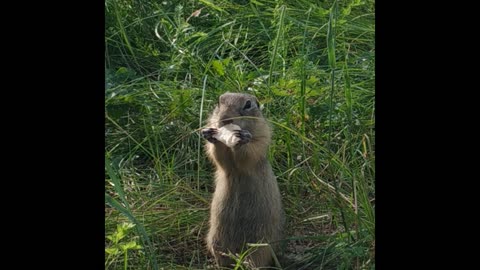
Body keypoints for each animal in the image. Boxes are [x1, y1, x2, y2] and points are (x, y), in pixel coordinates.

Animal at [201, 92, 284, 268]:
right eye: (218, 102)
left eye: (248, 105)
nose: (225, 119)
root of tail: (236, 254)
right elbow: (220, 158)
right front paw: (210, 134)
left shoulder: (262, 136)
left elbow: (250, 153)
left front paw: (241, 138)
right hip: (216, 240)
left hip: (260, 246)